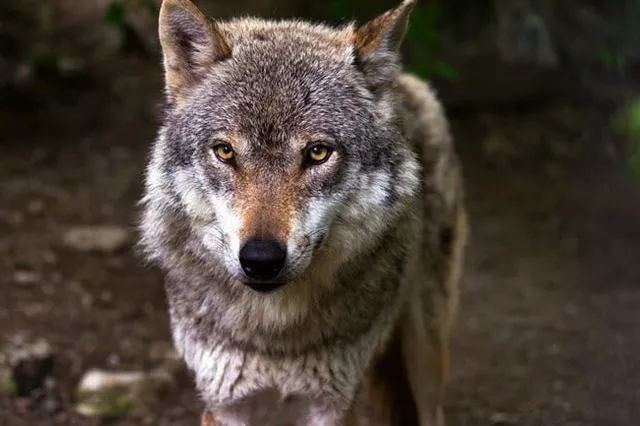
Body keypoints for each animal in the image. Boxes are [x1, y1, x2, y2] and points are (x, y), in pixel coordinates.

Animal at [138, 0, 468, 424]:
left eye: (317, 153)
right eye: (225, 151)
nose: (261, 259)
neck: (275, 336)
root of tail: (406, 80)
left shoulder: (333, 404)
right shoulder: (224, 403)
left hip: (424, 358)